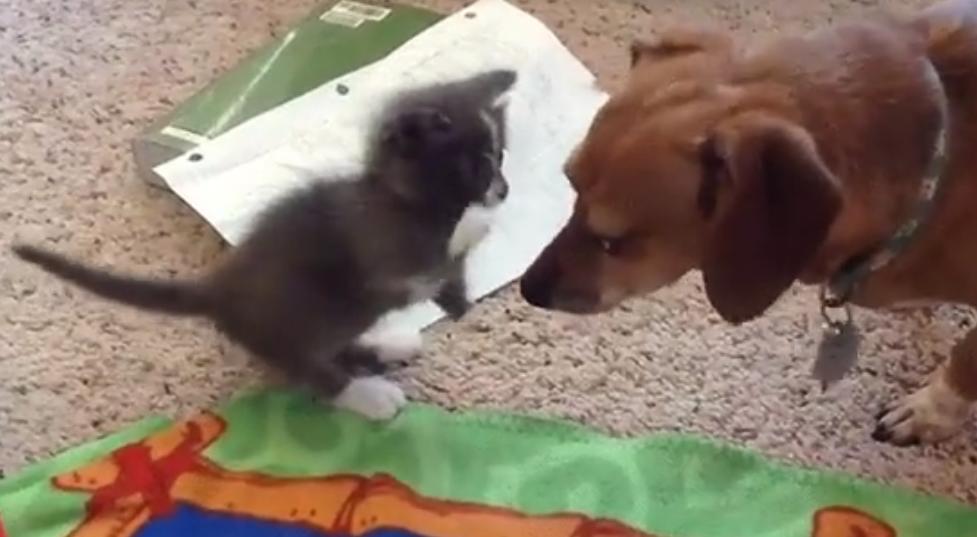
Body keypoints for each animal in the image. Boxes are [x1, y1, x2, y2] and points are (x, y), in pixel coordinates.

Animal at [13, 68, 520, 418]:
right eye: (475, 166)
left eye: (499, 157)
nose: (504, 191)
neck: (396, 196)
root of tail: (220, 290)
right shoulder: (384, 251)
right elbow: (439, 251)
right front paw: (477, 224)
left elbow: (450, 269)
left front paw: (458, 299)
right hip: (297, 317)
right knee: (311, 368)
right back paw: (366, 394)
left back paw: (387, 345)